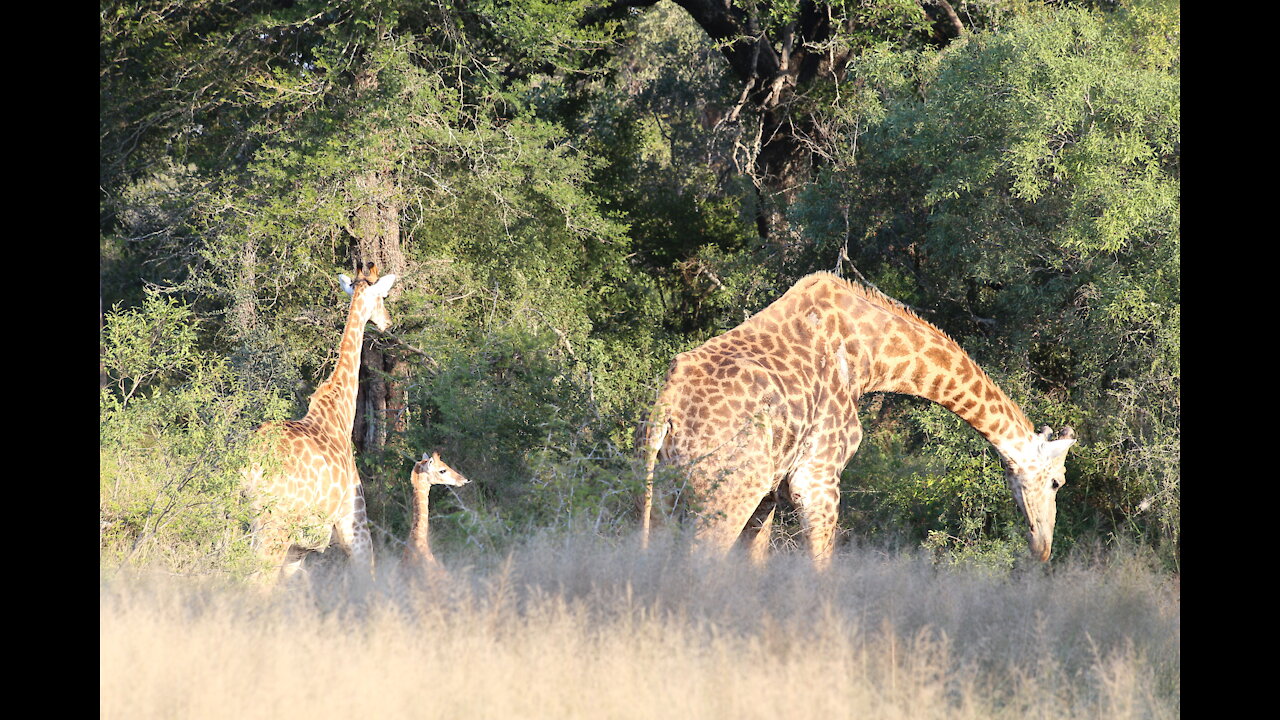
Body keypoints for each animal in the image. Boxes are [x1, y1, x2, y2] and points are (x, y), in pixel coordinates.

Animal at [241, 260, 394, 579]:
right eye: (382, 297)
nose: (388, 322)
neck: (340, 413)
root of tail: (250, 468)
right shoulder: (354, 526)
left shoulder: (299, 551)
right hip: (274, 529)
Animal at [637, 270, 1070, 566]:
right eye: (1057, 482)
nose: (1043, 549)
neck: (872, 355)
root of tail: (665, 411)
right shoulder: (817, 478)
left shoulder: (770, 491)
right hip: (726, 492)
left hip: (669, 491)